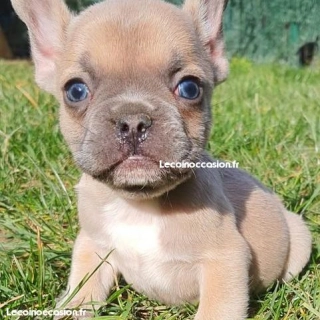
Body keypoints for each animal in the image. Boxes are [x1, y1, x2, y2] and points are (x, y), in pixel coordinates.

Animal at [11, 0, 312, 320]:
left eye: (190, 88)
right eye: (75, 90)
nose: (132, 121)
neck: (138, 205)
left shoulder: (224, 260)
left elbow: (214, 310)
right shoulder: (93, 245)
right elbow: (83, 290)